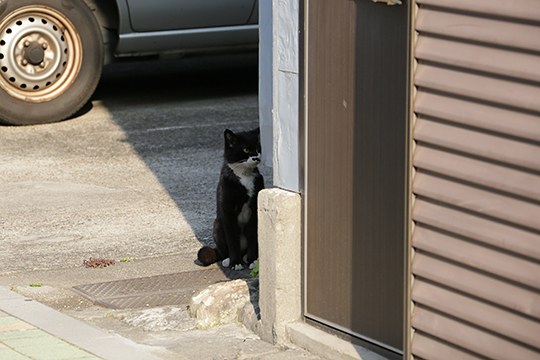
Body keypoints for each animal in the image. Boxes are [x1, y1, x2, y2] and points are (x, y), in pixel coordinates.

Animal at [198, 126, 266, 270]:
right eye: (245, 150)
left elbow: (252, 237)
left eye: (258, 148)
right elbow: (232, 239)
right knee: (223, 251)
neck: (244, 175)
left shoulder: (254, 211)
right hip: (217, 225)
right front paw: (235, 263)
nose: (256, 157)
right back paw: (227, 259)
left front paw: (252, 260)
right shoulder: (227, 211)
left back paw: (247, 257)